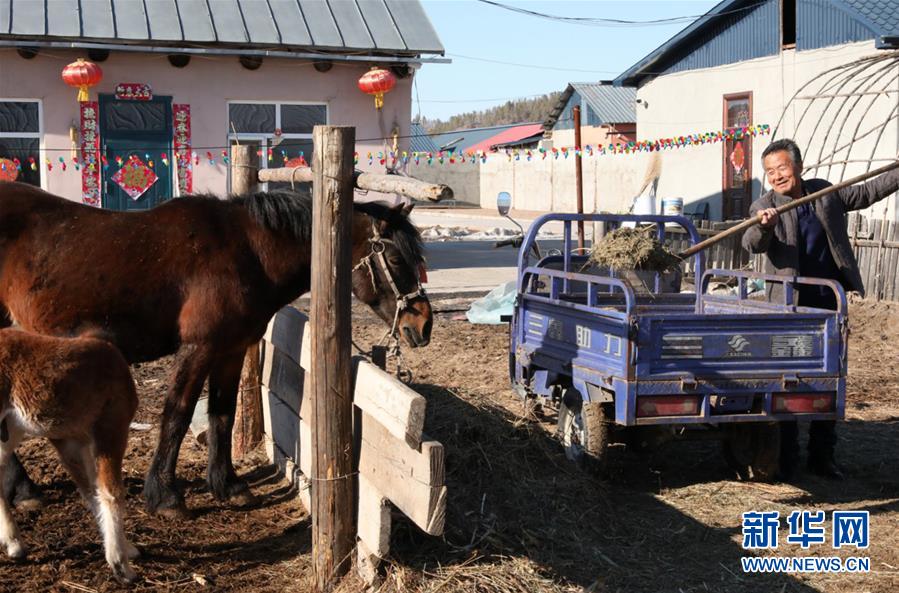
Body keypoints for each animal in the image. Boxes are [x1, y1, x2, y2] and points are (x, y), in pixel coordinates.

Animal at [0, 182, 432, 520]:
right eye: (396, 258)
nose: (422, 324)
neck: (247, 250)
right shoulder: (200, 347)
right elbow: (177, 413)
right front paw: (165, 496)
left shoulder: (230, 349)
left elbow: (222, 414)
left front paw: (228, 485)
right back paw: (24, 490)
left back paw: (22, 490)